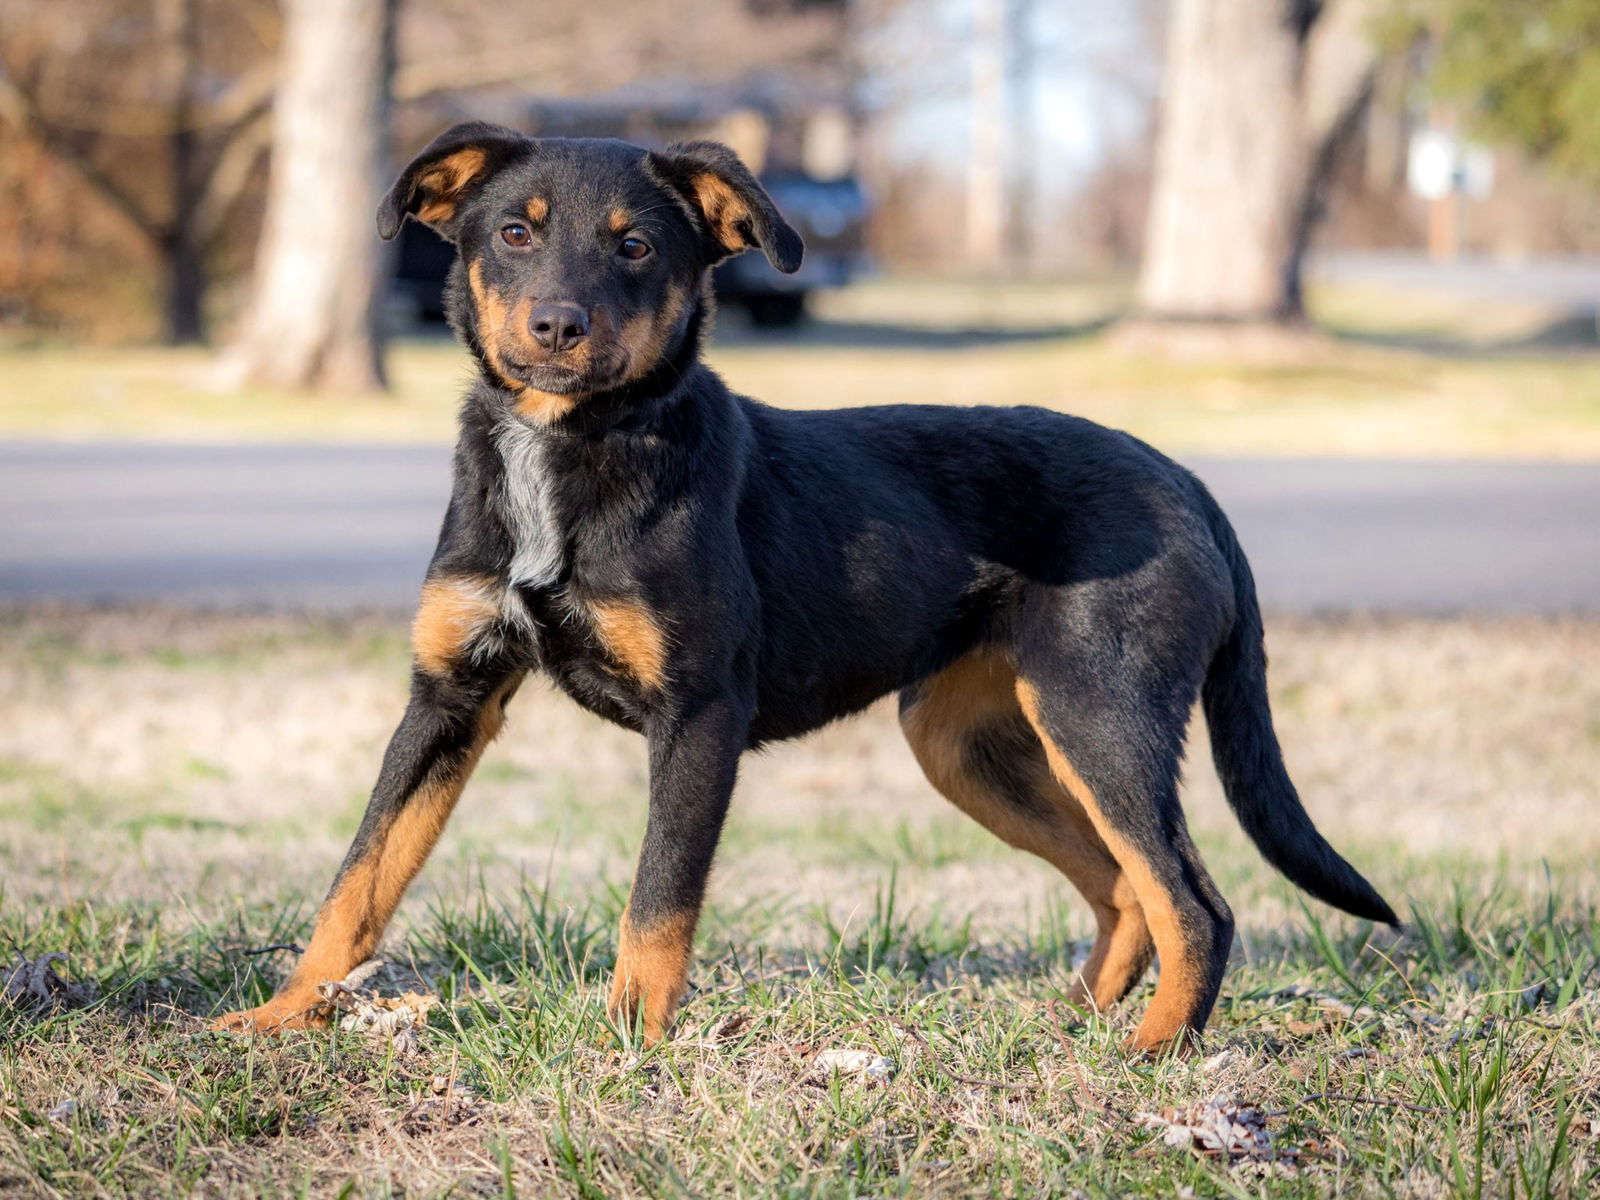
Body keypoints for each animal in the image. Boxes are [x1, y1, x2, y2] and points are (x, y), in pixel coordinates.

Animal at [216, 122, 1401, 1056]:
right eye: (513, 232)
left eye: (636, 246)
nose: (555, 326)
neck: (571, 452)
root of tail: (1187, 481)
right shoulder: (447, 698)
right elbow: (358, 880)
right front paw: (278, 1019)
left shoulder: (700, 714)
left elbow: (657, 903)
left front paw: (628, 1045)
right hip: (965, 744)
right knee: (1124, 889)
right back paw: (1076, 1025)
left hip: (1101, 714)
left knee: (1194, 903)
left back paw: (1151, 1053)